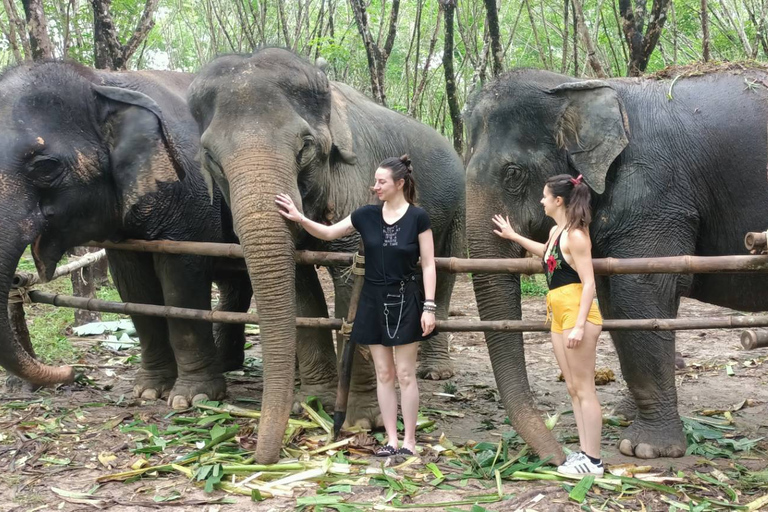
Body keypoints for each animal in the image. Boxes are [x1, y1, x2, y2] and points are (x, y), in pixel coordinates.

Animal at [0, 61, 252, 408]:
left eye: (45, 167)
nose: (70, 372)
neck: (101, 81)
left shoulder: (192, 202)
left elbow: (182, 288)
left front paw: (193, 398)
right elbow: (135, 290)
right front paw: (149, 391)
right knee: (235, 286)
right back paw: (227, 363)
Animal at [189, 49, 464, 464]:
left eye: (304, 146)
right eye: (210, 157)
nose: (260, 454)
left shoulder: (355, 177)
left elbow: (352, 275)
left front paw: (360, 421)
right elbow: (300, 284)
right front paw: (312, 403)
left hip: (459, 205)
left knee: (445, 272)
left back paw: (434, 372)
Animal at [464, 66, 768, 462]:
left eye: (513, 174)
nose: (557, 455)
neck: (576, 86)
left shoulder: (656, 191)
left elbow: (638, 294)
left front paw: (645, 449)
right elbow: (612, 299)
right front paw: (623, 418)